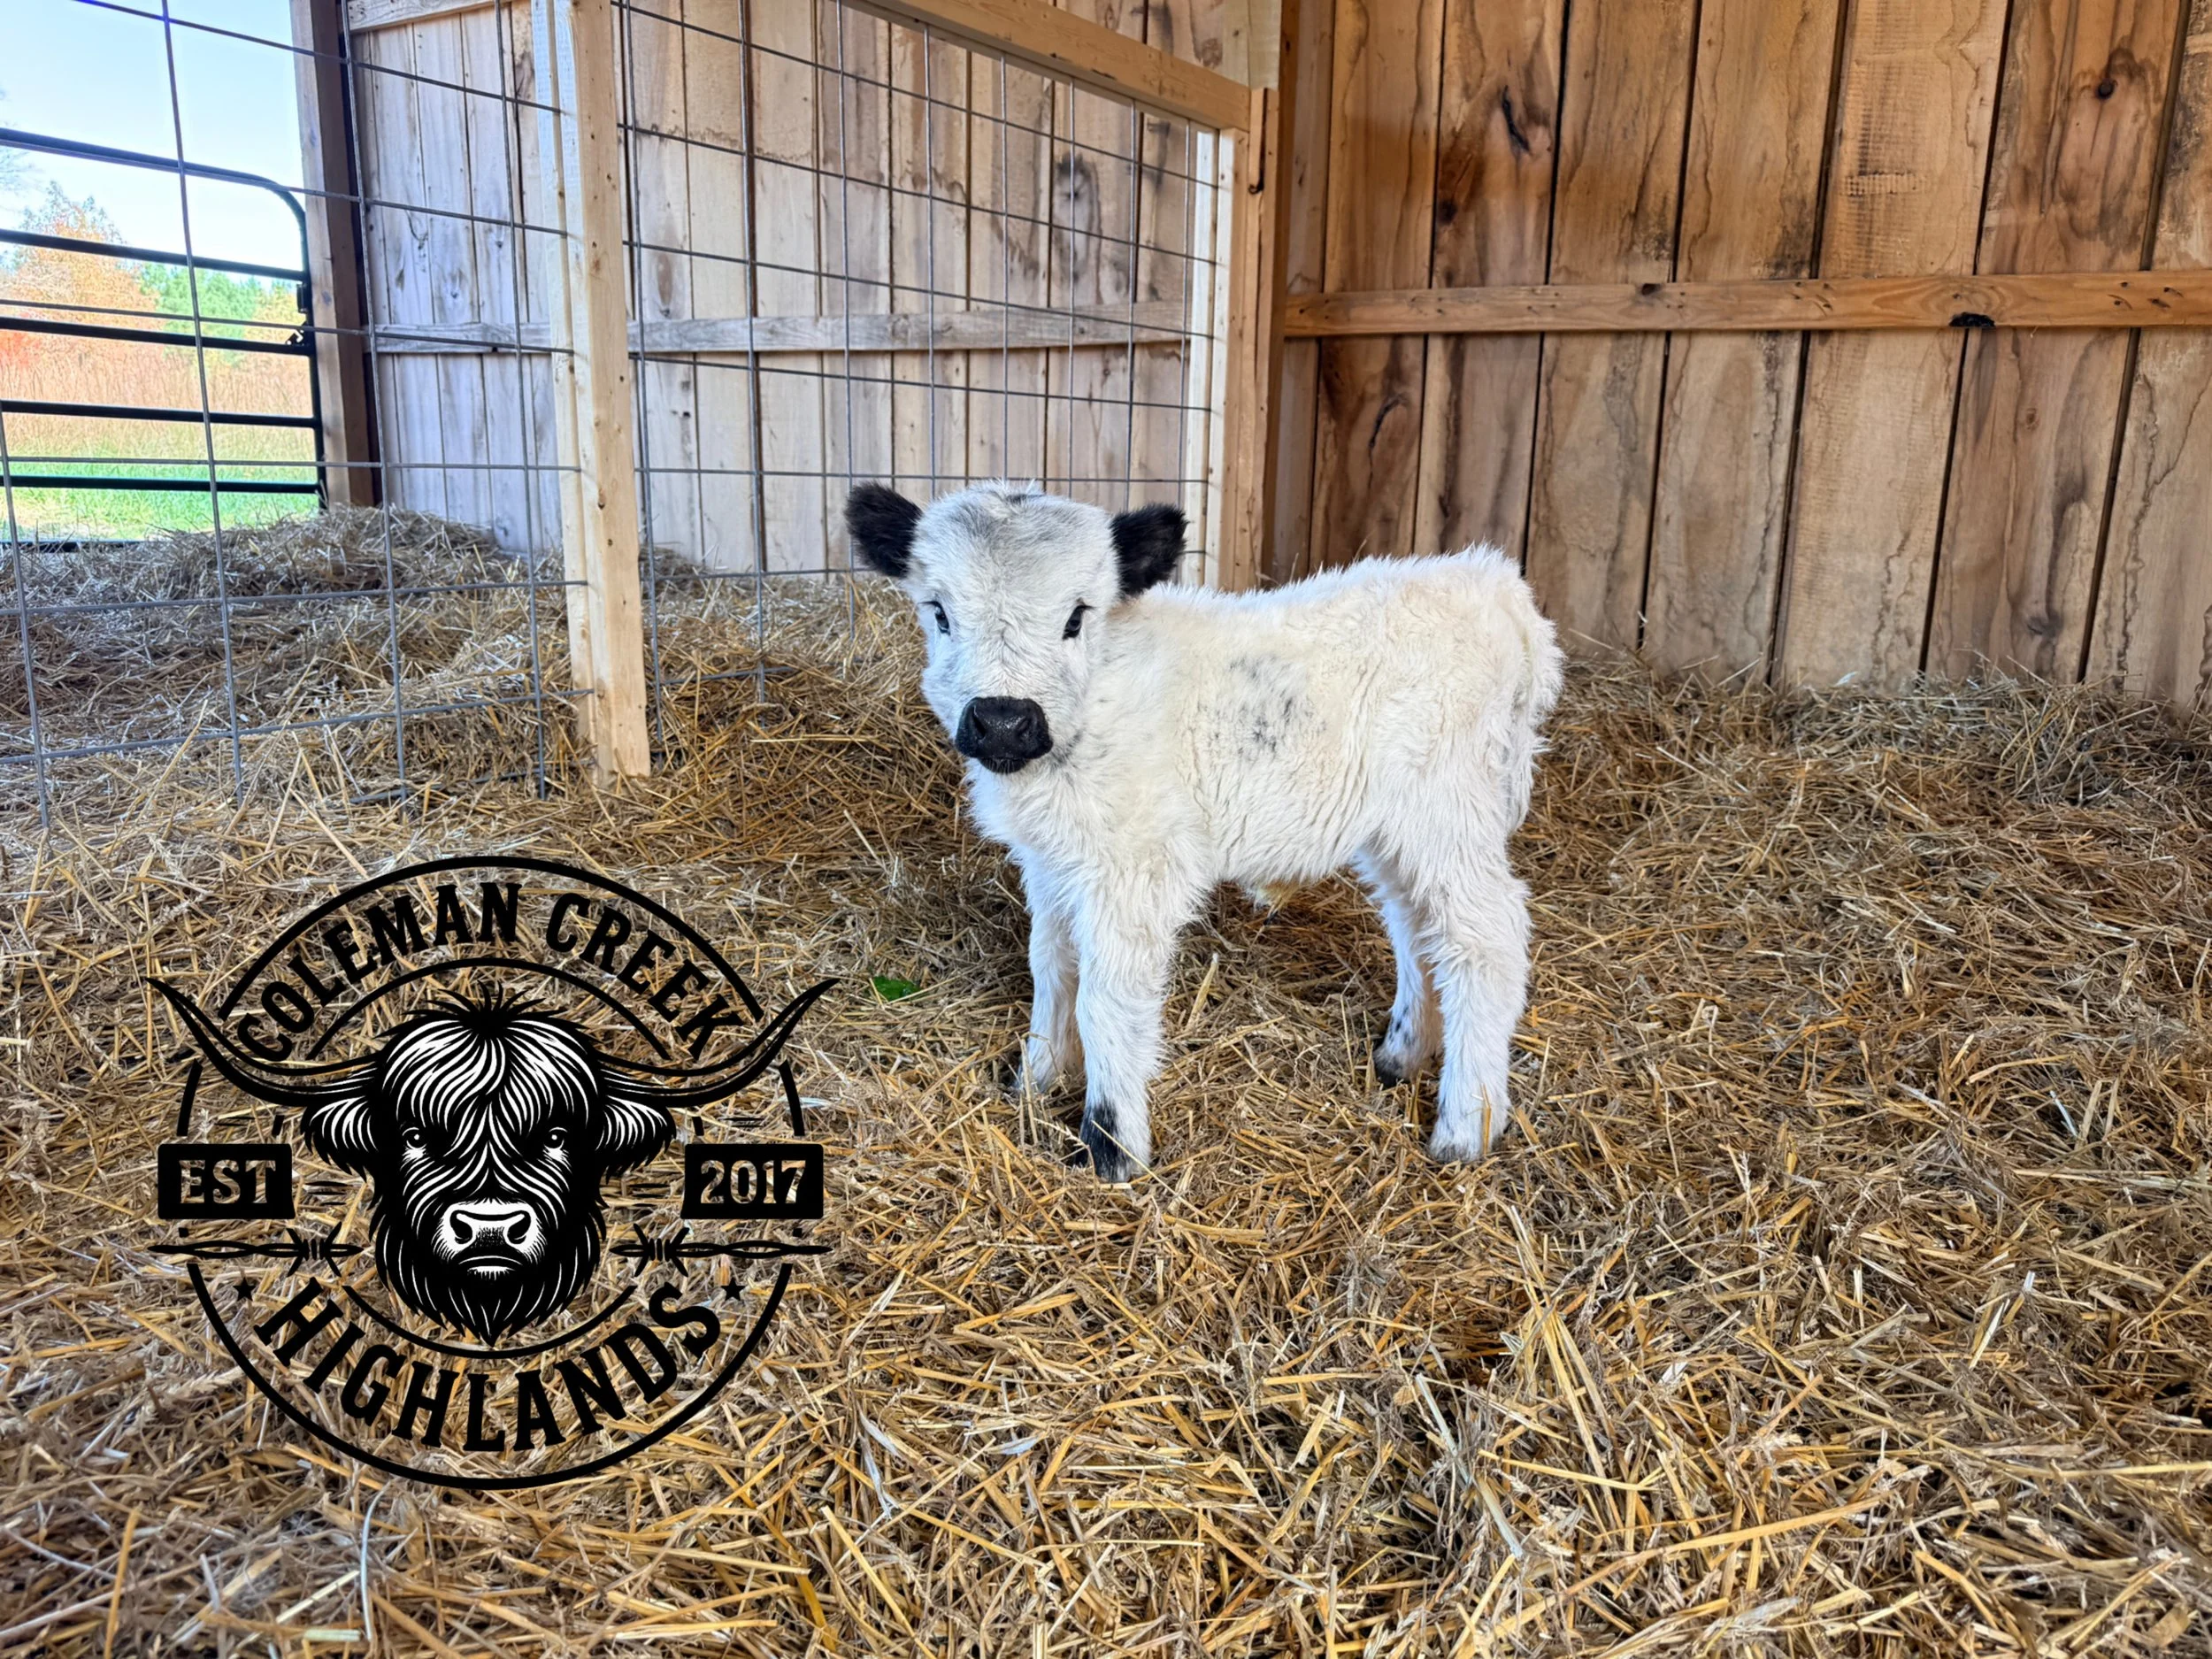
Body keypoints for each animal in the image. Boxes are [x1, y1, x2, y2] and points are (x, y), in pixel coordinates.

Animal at [845, 480, 1562, 1182]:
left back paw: (1465, 1125)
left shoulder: (1135, 871)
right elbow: (1051, 968)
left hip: (1450, 810)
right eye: (939, 611)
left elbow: (1105, 1000)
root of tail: (1497, 588)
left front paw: (1112, 1145)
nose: (1001, 721)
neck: (1098, 701)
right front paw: (1035, 1079)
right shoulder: (1052, 865)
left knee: (1485, 939)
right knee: (1419, 929)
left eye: (1076, 616)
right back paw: (1401, 1056)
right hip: (1398, 829)